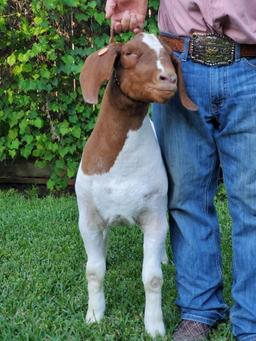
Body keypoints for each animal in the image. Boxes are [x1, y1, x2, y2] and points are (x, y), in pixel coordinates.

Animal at [75, 32, 197, 338]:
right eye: (129, 52)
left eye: (169, 55)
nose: (169, 78)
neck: (121, 166)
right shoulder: (88, 218)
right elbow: (93, 271)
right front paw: (94, 315)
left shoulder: (153, 216)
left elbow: (152, 277)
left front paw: (154, 325)